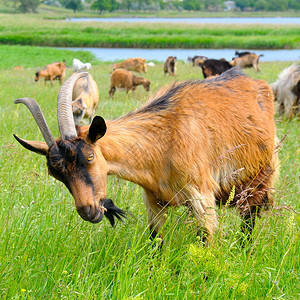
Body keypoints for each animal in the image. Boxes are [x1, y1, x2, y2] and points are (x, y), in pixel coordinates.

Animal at [15, 71, 278, 246]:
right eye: (56, 173)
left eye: (90, 156)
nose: (88, 211)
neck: (163, 141)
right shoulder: (153, 201)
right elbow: (156, 243)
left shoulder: (202, 196)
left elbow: (205, 242)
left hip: (260, 179)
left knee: (249, 221)